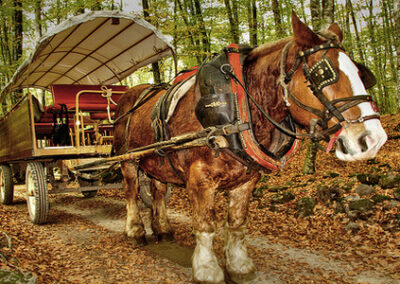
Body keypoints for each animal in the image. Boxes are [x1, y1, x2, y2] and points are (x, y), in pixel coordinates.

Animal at [113, 12, 388, 284]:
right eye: (322, 73)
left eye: (360, 73)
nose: (374, 138)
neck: (239, 105)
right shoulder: (200, 179)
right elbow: (205, 225)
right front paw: (207, 269)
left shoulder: (247, 181)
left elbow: (236, 223)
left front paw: (239, 266)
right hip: (127, 159)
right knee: (131, 192)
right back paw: (135, 230)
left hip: (156, 162)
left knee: (158, 191)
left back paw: (163, 228)